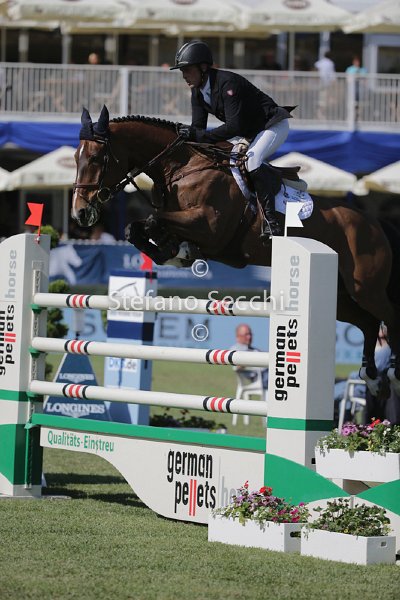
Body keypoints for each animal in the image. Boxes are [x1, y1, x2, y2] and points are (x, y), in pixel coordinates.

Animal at [72, 105, 400, 398]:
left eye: (96, 157)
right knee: (369, 323)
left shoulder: (210, 226)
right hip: (342, 297)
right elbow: (137, 229)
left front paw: (177, 251)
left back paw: (393, 372)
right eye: (76, 158)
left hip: (365, 288)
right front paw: (175, 252)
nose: (80, 214)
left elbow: (153, 221)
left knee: (387, 317)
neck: (182, 168)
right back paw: (373, 379)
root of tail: (375, 224)